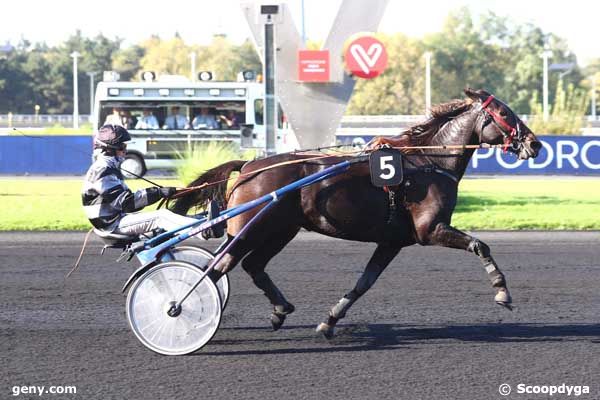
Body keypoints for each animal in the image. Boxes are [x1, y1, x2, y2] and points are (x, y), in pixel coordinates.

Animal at [171, 89, 540, 340]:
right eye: (505, 112)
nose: (534, 144)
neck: (428, 161)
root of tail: (249, 165)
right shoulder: (430, 229)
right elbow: (481, 245)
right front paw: (502, 291)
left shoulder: (393, 241)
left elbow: (365, 282)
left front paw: (330, 320)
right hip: (252, 228)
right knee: (220, 266)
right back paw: (181, 310)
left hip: (280, 229)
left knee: (252, 265)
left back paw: (279, 311)